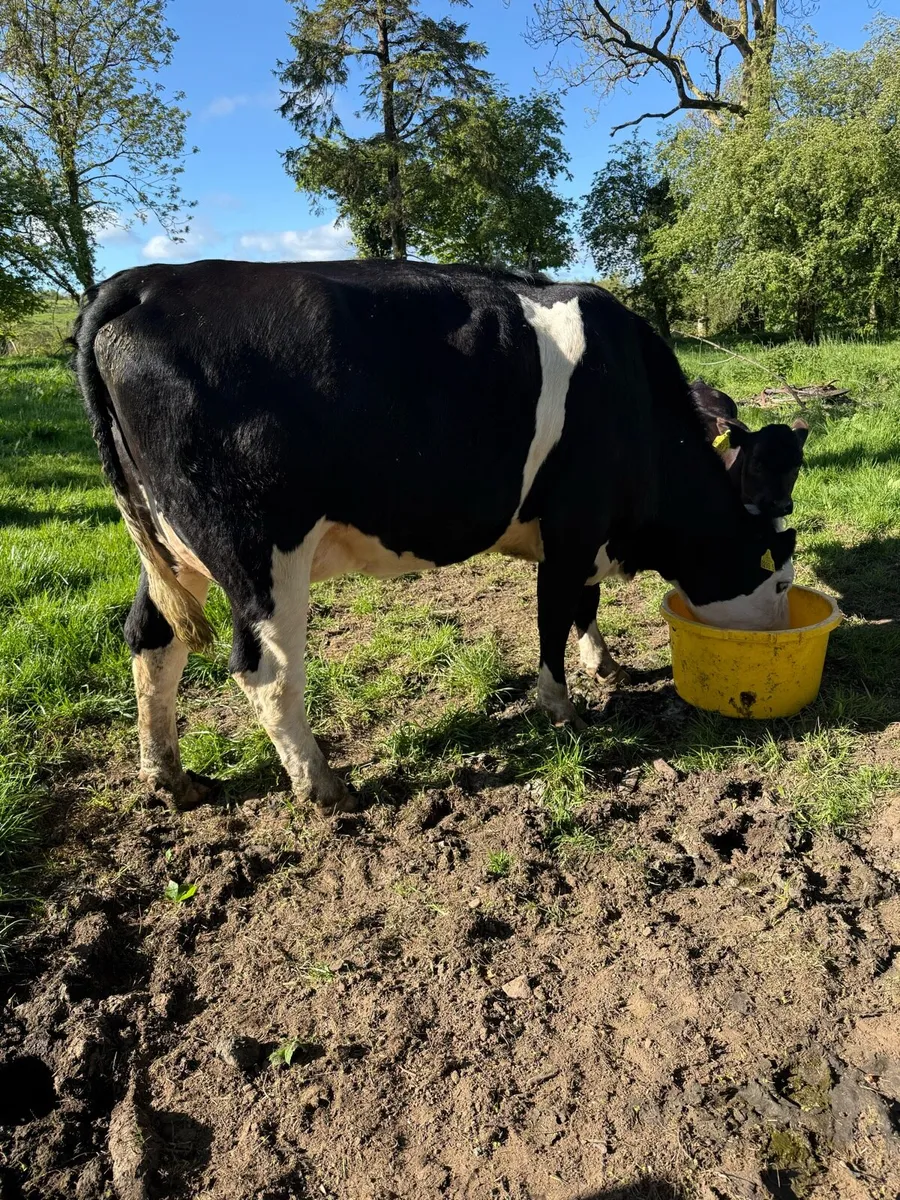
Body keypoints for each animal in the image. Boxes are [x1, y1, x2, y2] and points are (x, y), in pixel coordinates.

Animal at [73, 260, 796, 815]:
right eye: (781, 578)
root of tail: (146, 281)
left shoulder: (585, 536)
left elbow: (584, 607)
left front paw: (606, 664)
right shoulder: (570, 528)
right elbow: (553, 616)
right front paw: (563, 707)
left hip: (172, 549)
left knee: (151, 639)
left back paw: (170, 777)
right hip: (257, 552)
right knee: (266, 672)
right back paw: (324, 786)